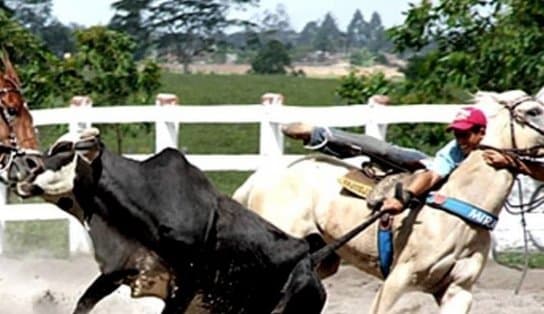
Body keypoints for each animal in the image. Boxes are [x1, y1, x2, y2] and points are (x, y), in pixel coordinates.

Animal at [13, 140, 378, 314]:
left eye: (64, 155)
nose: (20, 164)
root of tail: (309, 260)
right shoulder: (120, 270)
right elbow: (83, 303)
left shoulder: (186, 285)